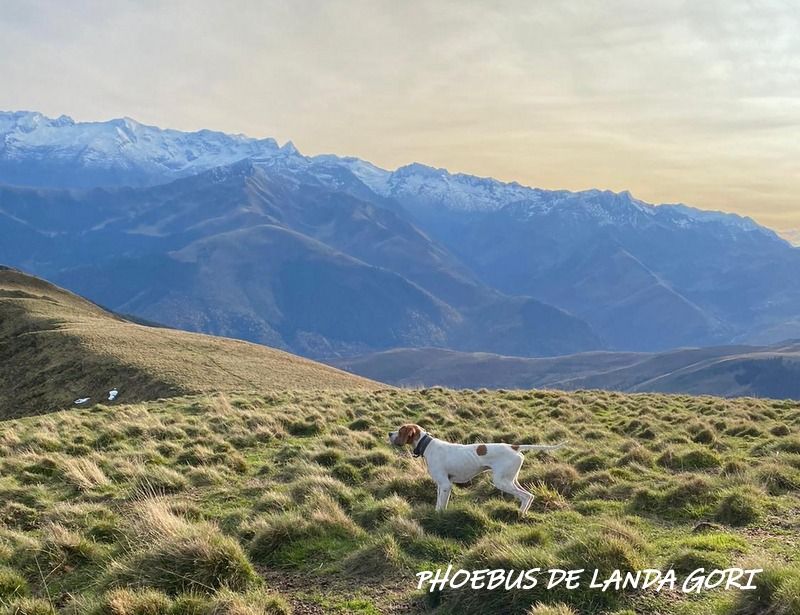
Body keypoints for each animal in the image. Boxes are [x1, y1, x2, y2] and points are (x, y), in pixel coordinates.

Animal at [388, 424, 564, 516]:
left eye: (401, 430)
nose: (389, 433)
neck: (428, 445)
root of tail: (514, 447)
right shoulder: (441, 485)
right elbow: (439, 503)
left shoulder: (445, 485)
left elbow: (441, 506)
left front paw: (438, 516)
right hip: (510, 479)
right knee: (529, 495)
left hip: (501, 481)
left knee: (526, 496)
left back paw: (520, 514)